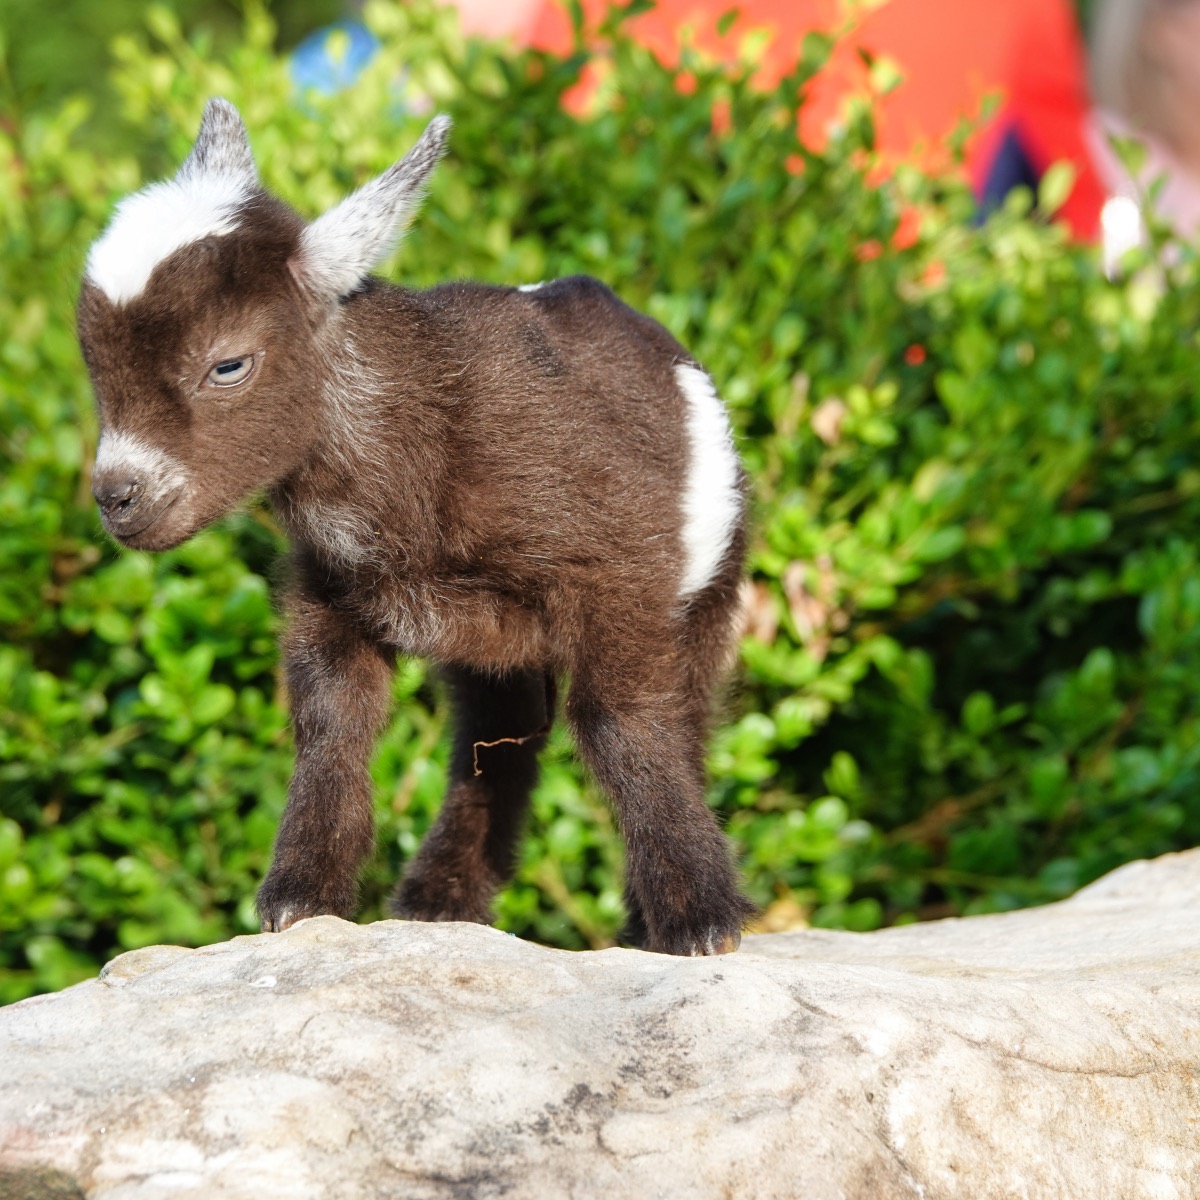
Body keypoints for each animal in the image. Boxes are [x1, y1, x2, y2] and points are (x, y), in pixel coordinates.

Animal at [77, 99, 754, 956]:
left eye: (227, 366)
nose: (116, 497)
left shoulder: (622, 572)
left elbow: (623, 721)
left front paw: (701, 921)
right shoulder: (329, 586)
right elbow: (333, 721)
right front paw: (300, 899)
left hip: (710, 581)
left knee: (682, 715)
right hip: (490, 645)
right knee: (497, 737)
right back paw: (439, 902)